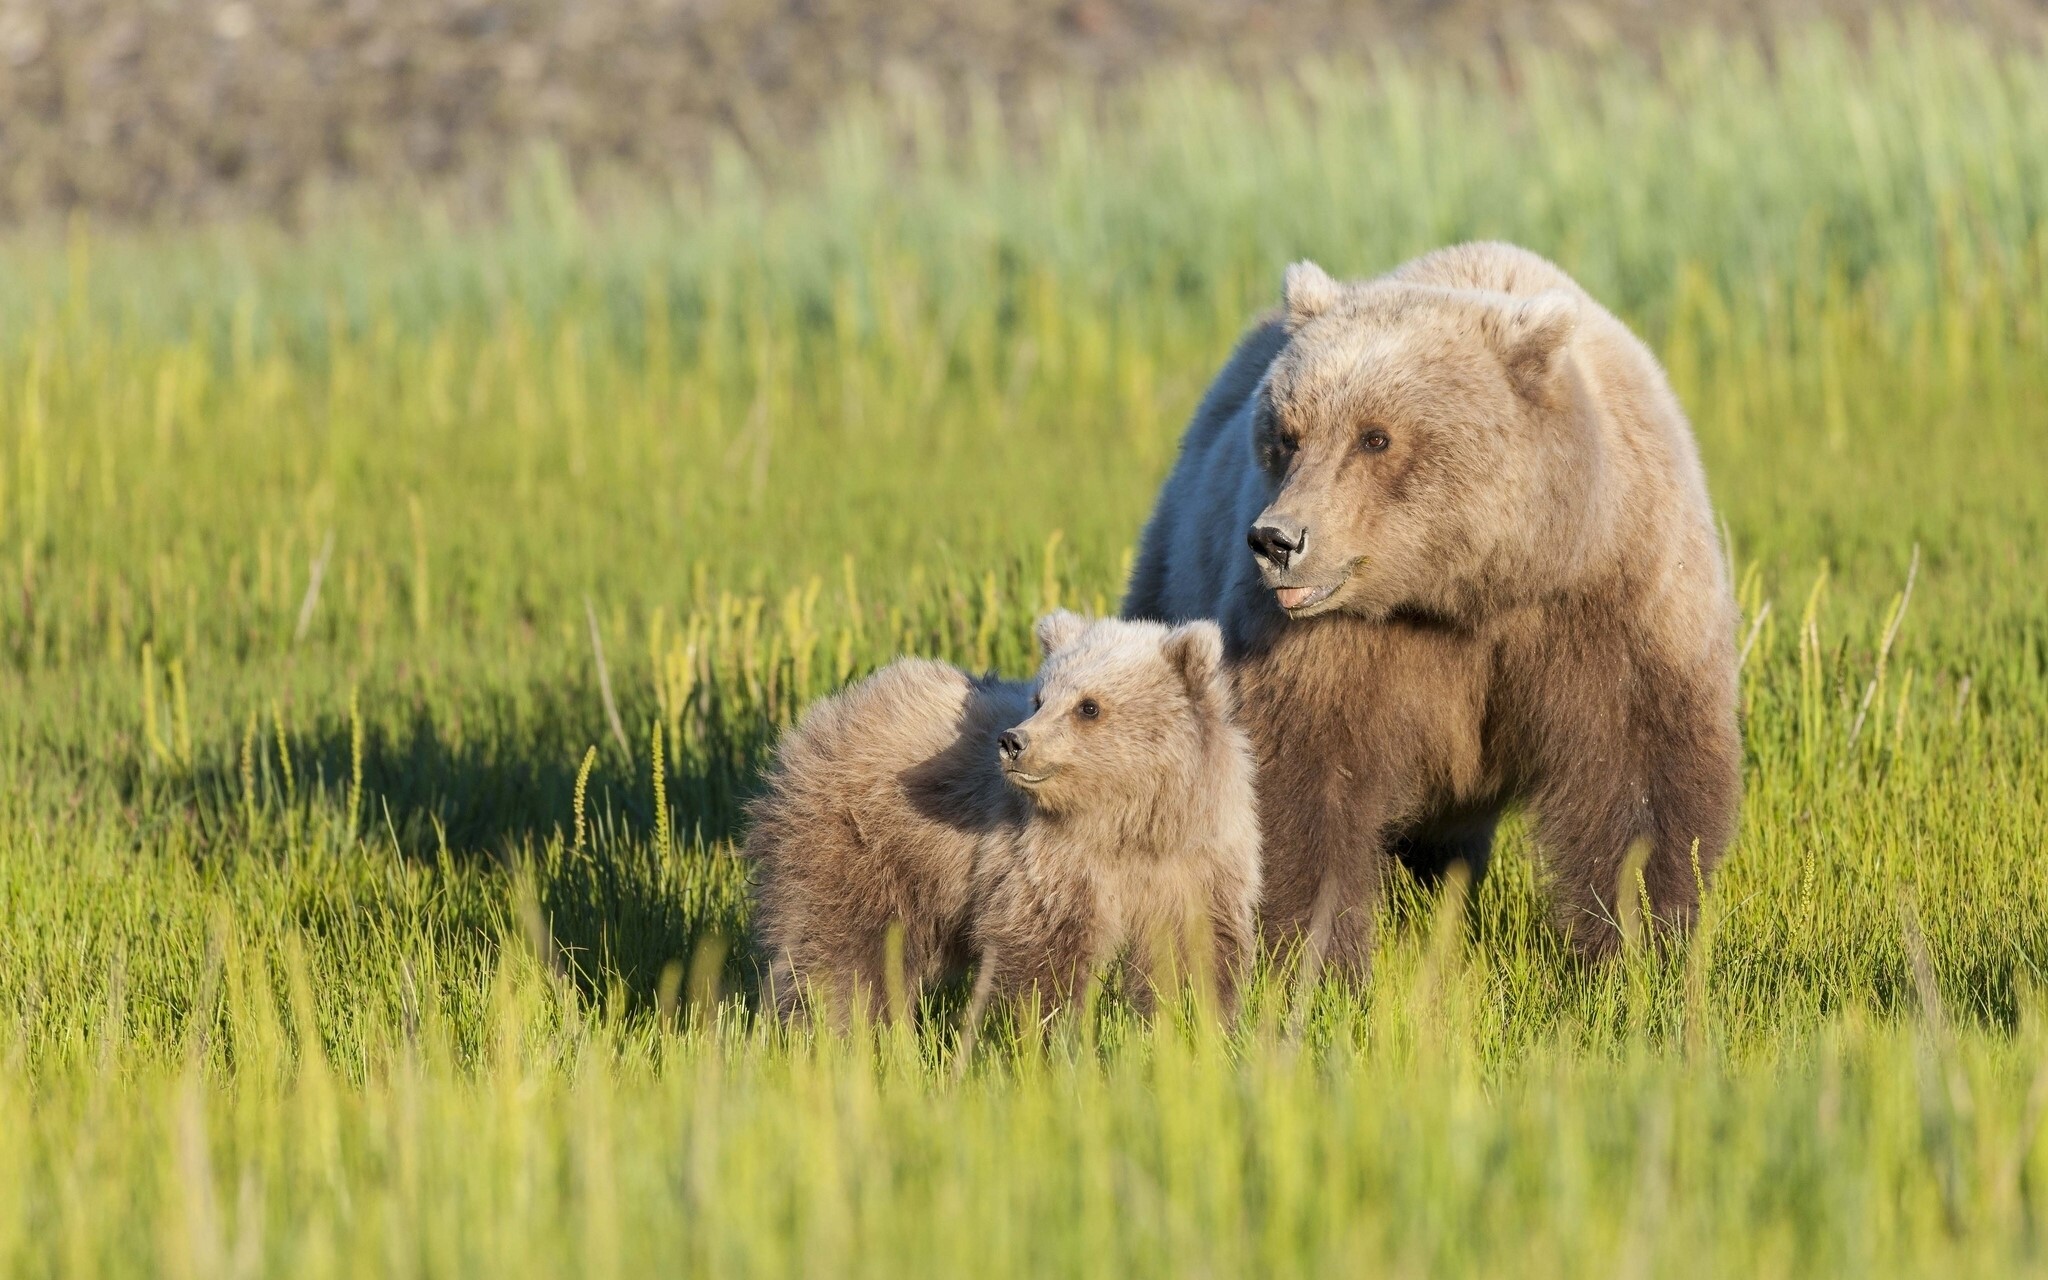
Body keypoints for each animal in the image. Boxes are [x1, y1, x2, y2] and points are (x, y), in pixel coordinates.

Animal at [745, 611, 1261, 1026]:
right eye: (1040, 697)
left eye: (1088, 706)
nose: (1014, 741)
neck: (1126, 823)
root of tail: (823, 715)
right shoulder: (1045, 859)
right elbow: (1042, 956)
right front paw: (1043, 1035)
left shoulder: (1196, 861)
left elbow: (1192, 953)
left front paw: (1196, 1026)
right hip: (859, 846)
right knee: (844, 951)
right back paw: (836, 1027)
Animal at [1122, 241, 1741, 975]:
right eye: (1287, 434)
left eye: (1375, 437)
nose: (1277, 539)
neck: (1470, 589)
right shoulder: (1333, 643)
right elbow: (1299, 773)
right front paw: (1316, 958)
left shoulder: (1610, 601)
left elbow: (1638, 772)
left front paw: (1639, 945)